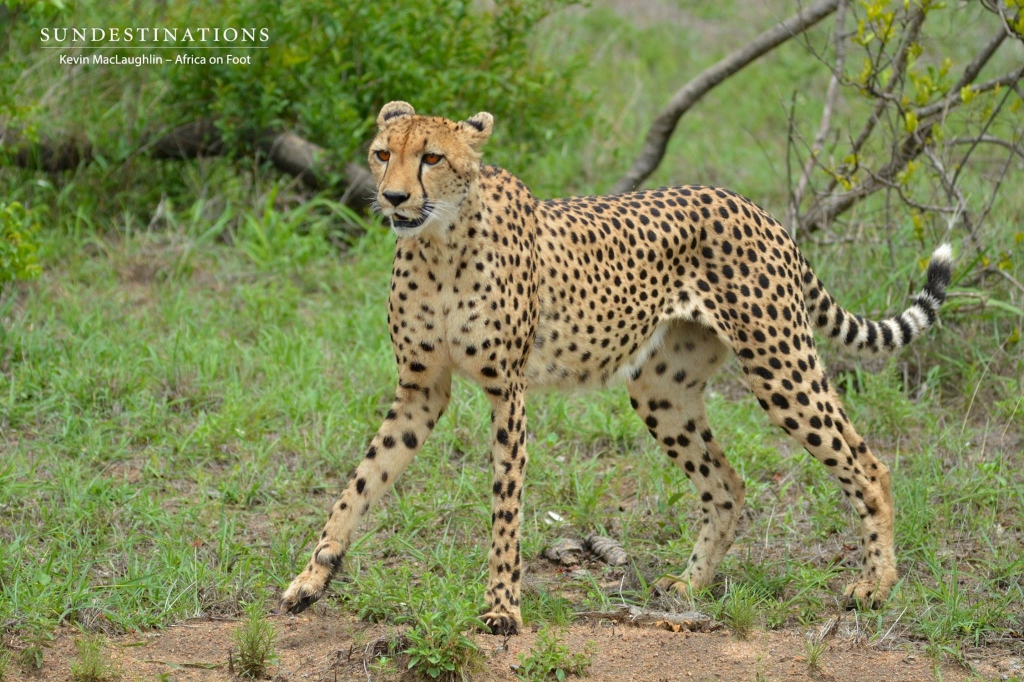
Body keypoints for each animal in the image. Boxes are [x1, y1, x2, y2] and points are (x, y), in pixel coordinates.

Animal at [279, 101, 952, 635]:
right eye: (381, 153)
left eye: (432, 158)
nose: (393, 197)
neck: (439, 243)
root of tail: (751, 205)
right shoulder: (422, 388)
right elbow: (361, 482)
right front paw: (313, 577)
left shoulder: (508, 392)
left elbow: (504, 506)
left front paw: (502, 608)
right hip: (662, 390)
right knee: (727, 483)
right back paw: (690, 586)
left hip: (779, 364)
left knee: (868, 464)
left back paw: (875, 585)